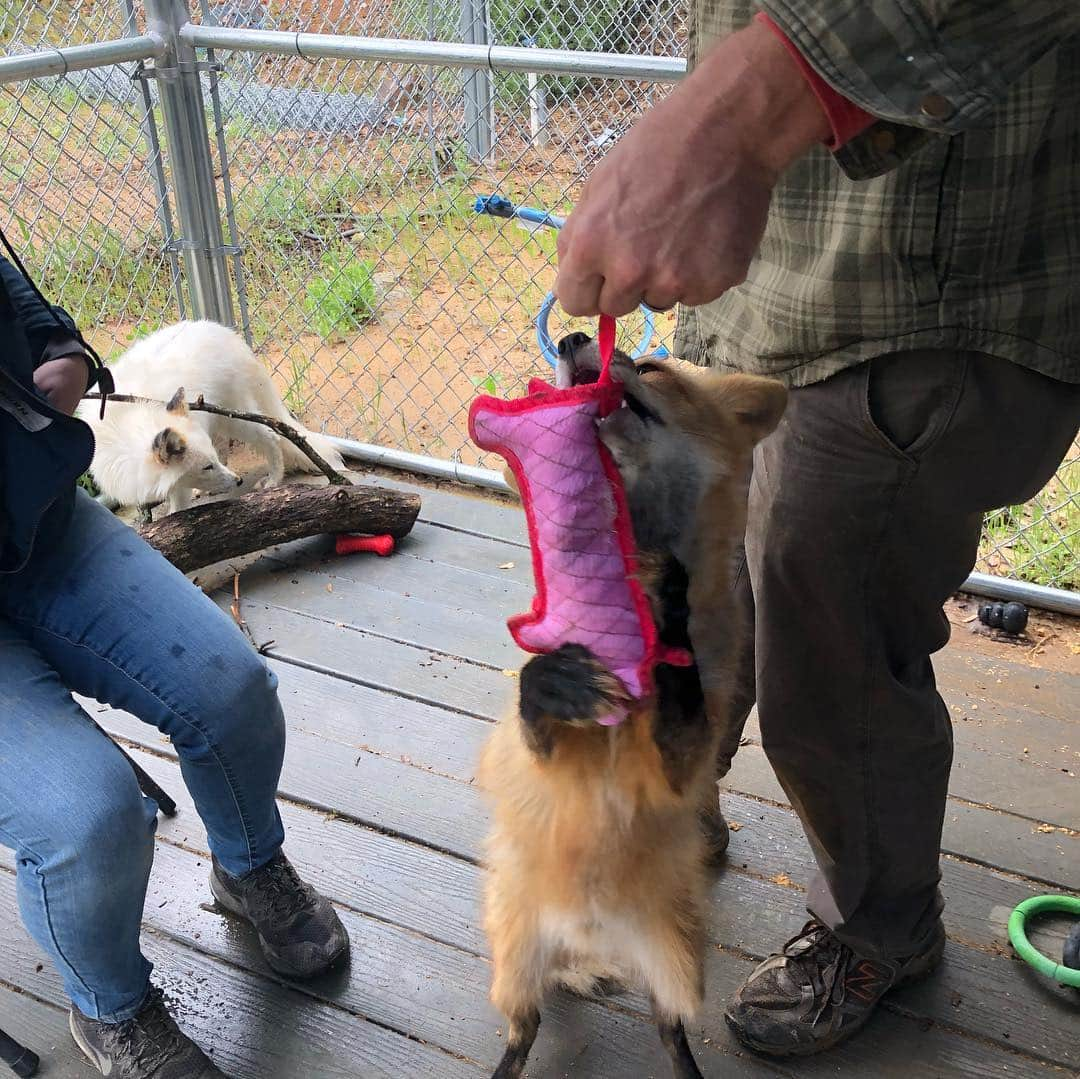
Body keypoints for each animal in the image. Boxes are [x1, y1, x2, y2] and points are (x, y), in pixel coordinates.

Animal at [77, 319, 345, 514]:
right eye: (207, 467)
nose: (238, 482)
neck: (125, 429)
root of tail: (225, 333)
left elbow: (177, 509)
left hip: (236, 419)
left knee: (270, 436)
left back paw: (273, 480)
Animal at [479, 332, 786, 1075]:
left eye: (650, 367)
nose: (570, 338)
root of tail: (590, 936)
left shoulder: (684, 764)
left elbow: (687, 701)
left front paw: (672, 614)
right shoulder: (536, 757)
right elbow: (534, 708)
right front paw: (556, 679)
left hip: (678, 964)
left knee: (670, 1032)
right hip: (515, 957)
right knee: (523, 1030)